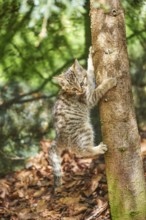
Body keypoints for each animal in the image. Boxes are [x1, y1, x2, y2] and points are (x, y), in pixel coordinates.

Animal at [48, 51, 117, 189]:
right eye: (73, 89)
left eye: (80, 83)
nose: (80, 90)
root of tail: (59, 136)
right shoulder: (90, 98)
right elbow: (99, 89)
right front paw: (109, 82)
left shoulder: (89, 80)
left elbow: (90, 71)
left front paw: (90, 56)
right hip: (84, 129)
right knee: (81, 151)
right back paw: (97, 149)